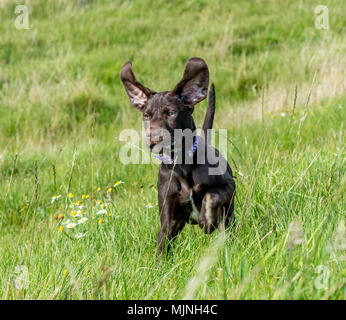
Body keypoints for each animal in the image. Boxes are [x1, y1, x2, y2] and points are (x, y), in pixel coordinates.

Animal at [120, 58, 237, 262]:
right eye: (146, 115)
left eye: (171, 113)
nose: (154, 138)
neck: (182, 164)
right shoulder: (169, 218)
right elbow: (162, 246)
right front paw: (158, 268)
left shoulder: (229, 185)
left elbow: (211, 195)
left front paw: (207, 220)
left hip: (229, 212)